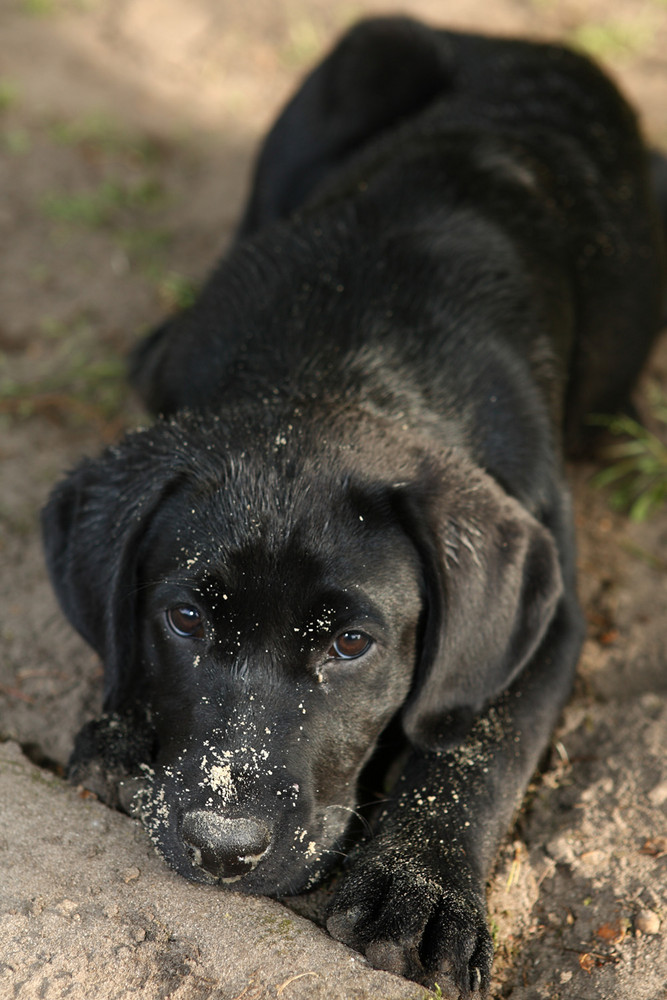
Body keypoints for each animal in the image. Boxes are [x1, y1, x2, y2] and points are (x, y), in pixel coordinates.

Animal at [44, 19, 664, 996]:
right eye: (184, 619)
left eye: (350, 644)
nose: (223, 849)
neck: (351, 351)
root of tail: (509, 37)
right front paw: (122, 731)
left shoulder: (547, 606)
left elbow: (476, 744)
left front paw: (418, 889)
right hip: (371, 50)